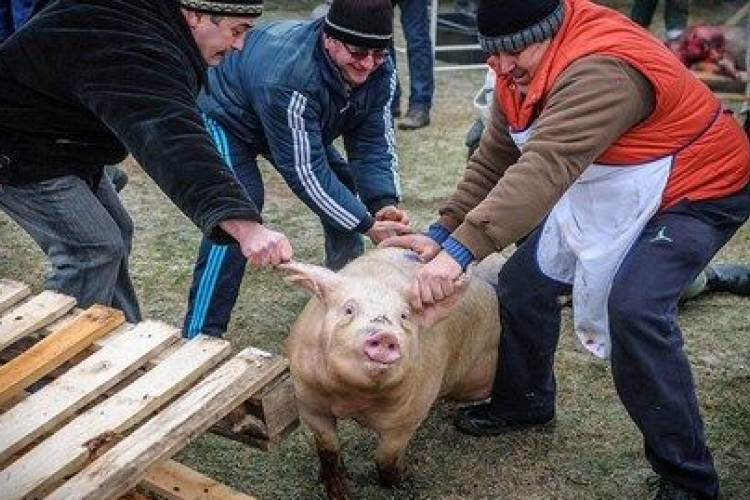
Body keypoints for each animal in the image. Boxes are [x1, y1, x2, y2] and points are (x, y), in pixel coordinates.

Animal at [284, 247, 502, 500]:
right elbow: (329, 450)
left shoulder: (409, 416)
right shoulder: (308, 403)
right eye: (349, 309)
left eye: (404, 316)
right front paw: (341, 493)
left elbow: (385, 457)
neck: (352, 399)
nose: (386, 335)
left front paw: (404, 482)